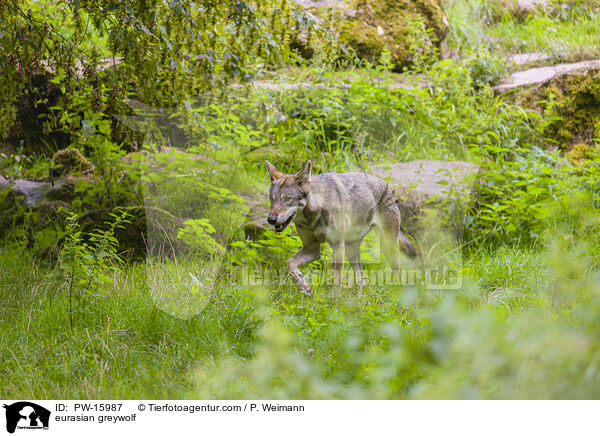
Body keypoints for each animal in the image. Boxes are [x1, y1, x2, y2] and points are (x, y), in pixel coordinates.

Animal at [268, 158, 418, 294]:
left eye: (287, 199)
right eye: (272, 199)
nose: (271, 219)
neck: (313, 216)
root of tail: (385, 184)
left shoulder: (337, 245)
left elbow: (337, 278)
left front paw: (335, 299)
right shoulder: (312, 249)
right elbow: (290, 263)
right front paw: (303, 285)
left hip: (388, 247)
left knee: (400, 274)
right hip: (352, 250)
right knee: (361, 279)